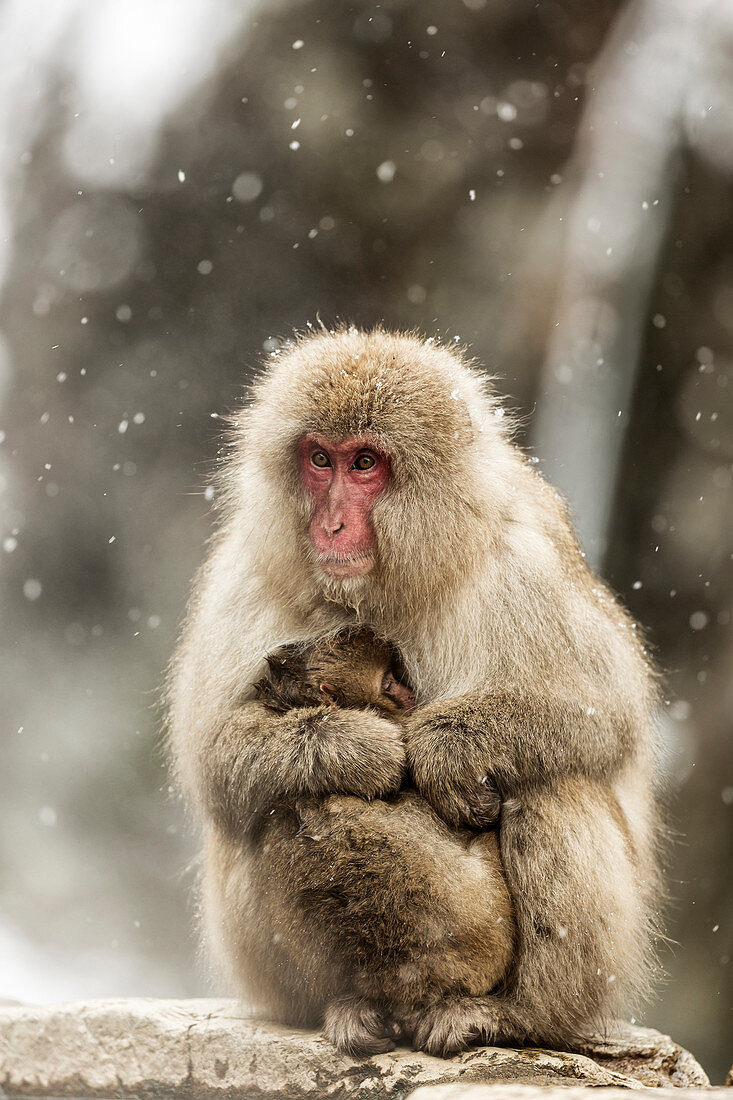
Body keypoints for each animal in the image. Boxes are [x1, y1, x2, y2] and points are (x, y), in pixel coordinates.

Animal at [167, 323, 660, 1056]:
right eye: (320, 459)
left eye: (365, 463)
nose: (330, 526)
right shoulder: (245, 570)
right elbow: (214, 757)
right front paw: (357, 748)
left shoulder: (527, 559)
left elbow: (606, 712)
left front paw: (443, 748)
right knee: (273, 801)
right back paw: (350, 1005)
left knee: (551, 781)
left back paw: (518, 1016)